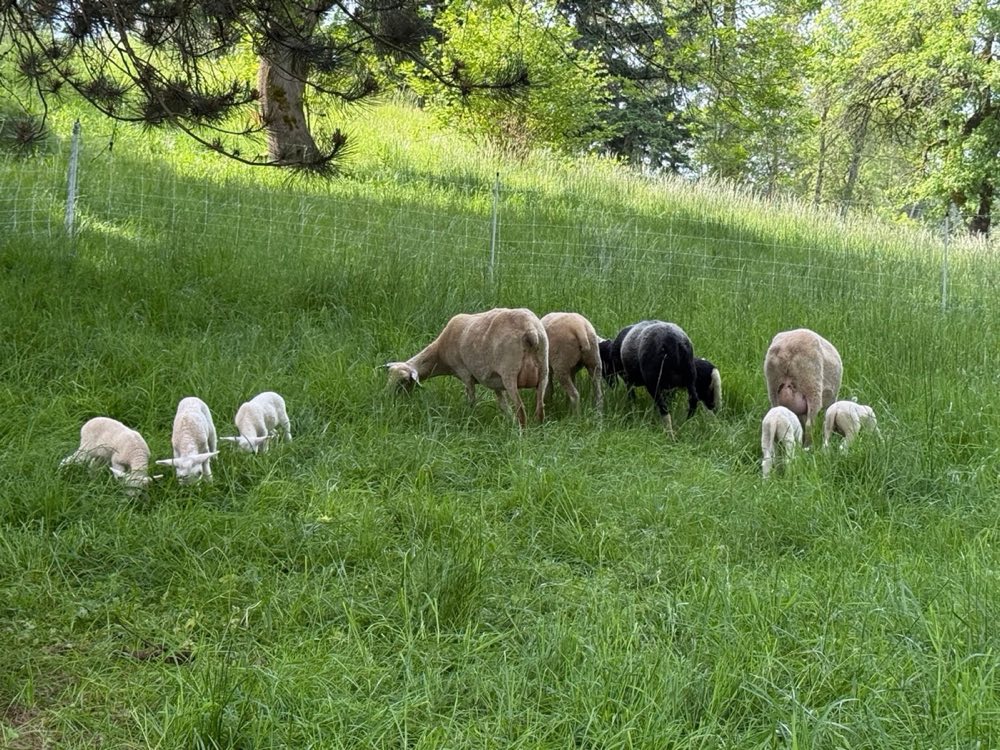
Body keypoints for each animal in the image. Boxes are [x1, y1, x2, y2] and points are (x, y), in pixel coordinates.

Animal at [385, 307, 549, 428]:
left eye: (404, 382)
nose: (389, 399)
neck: (439, 355)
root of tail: (531, 331)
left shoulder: (464, 372)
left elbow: (471, 400)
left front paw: (470, 417)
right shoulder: (495, 381)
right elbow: (503, 406)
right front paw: (509, 421)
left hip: (510, 372)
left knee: (521, 410)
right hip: (543, 370)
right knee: (540, 408)